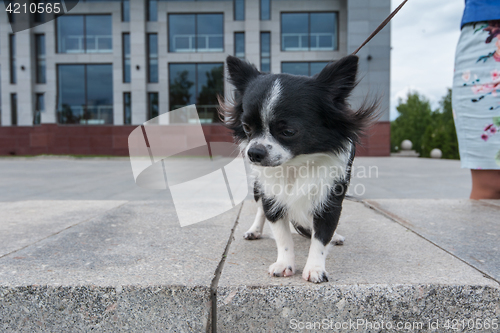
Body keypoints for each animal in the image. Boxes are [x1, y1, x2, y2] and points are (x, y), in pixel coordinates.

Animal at [221, 54, 376, 282]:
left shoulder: (329, 200)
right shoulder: (272, 198)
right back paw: (255, 230)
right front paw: (284, 263)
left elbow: (321, 237)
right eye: (247, 128)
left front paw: (315, 268)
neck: (296, 164)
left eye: (288, 131)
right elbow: (282, 236)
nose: (254, 152)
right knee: (259, 210)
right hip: (259, 189)